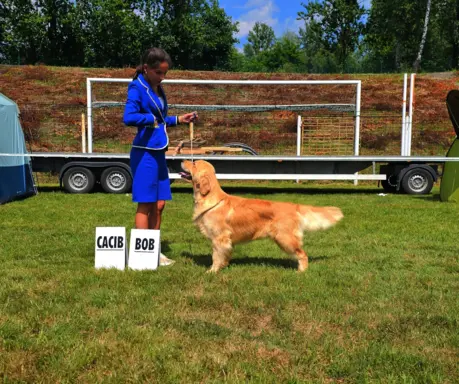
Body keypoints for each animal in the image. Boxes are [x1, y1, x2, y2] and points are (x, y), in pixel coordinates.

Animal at [181, 160, 344, 272]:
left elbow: (216, 256)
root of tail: (293, 206)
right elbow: (224, 256)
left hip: (285, 238)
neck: (211, 199)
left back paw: (301, 271)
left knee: (302, 254)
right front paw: (223, 266)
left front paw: (212, 271)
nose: (182, 160)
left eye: (194, 163)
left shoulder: (219, 238)